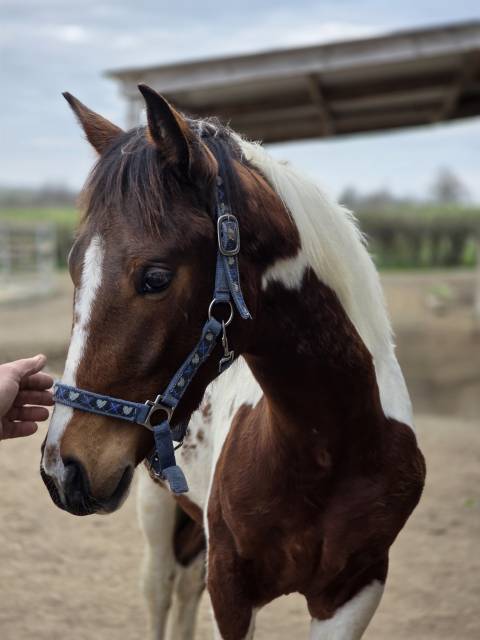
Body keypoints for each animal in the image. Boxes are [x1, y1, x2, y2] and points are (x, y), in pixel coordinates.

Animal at [40, 84, 425, 640]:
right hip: (157, 509)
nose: (62, 470)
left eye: (155, 277)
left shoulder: (355, 590)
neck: (326, 447)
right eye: (73, 268)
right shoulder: (231, 587)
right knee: (160, 592)